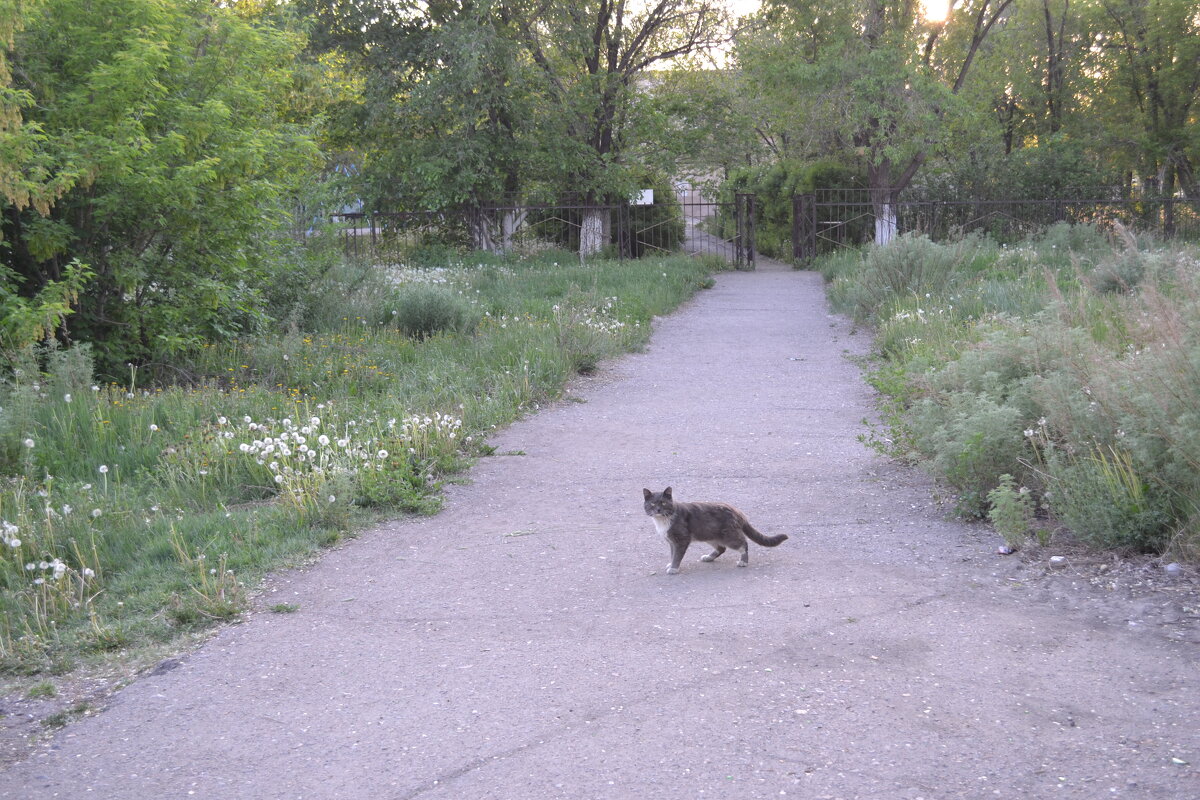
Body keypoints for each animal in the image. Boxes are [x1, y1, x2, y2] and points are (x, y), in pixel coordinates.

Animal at [643, 489, 792, 575]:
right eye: (652, 504)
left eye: (663, 503)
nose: (658, 510)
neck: (663, 520)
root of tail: (737, 511)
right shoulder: (672, 541)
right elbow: (672, 553)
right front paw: (671, 563)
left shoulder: (681, 539)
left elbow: (677, 555)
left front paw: (674, 568)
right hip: (709, 534)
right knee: (721, 548)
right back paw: (708, 557)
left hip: (729, 535)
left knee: (743, 543)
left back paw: (743, 561)